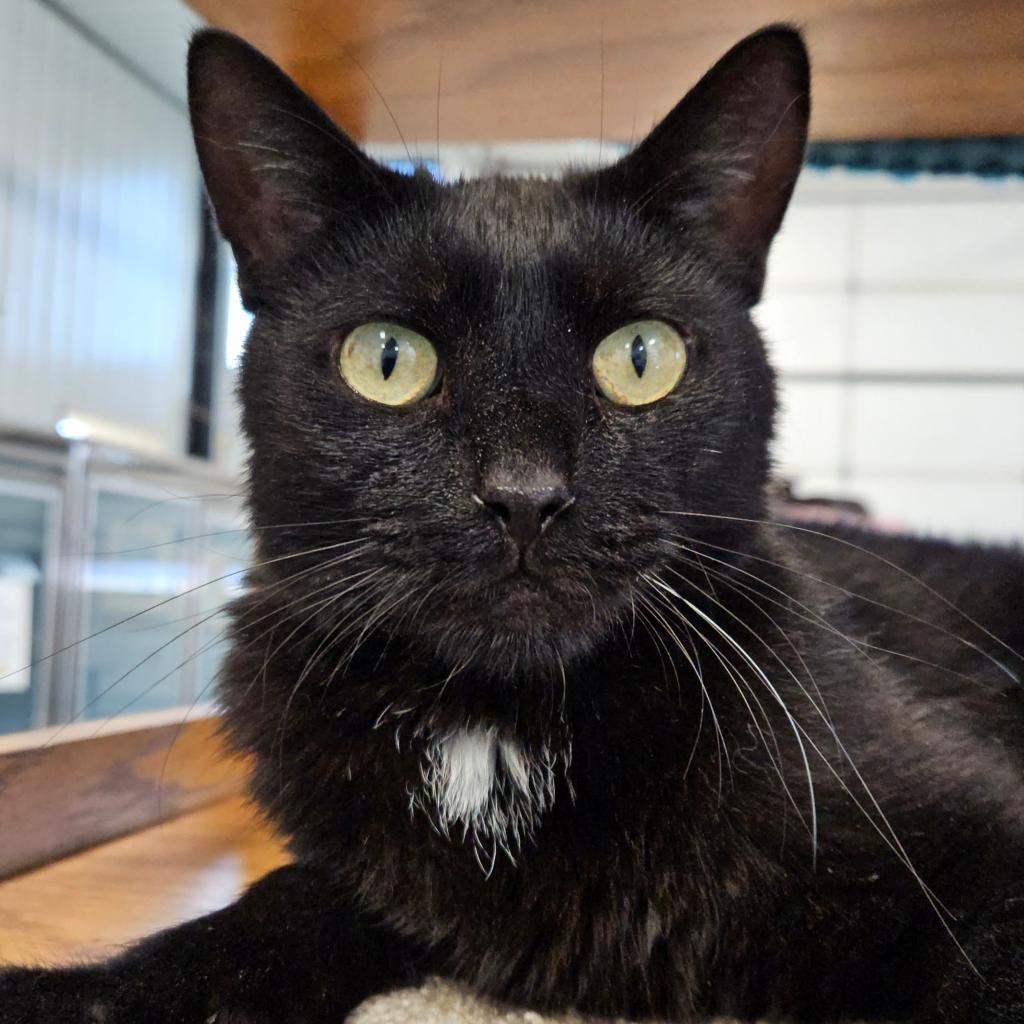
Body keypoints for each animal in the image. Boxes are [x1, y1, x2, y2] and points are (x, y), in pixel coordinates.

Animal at [2, 24, 1024, 1024]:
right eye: (386, 358)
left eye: (643, 355)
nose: (525, 494)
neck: (497, 730)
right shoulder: (376, 889)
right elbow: (261, 918)